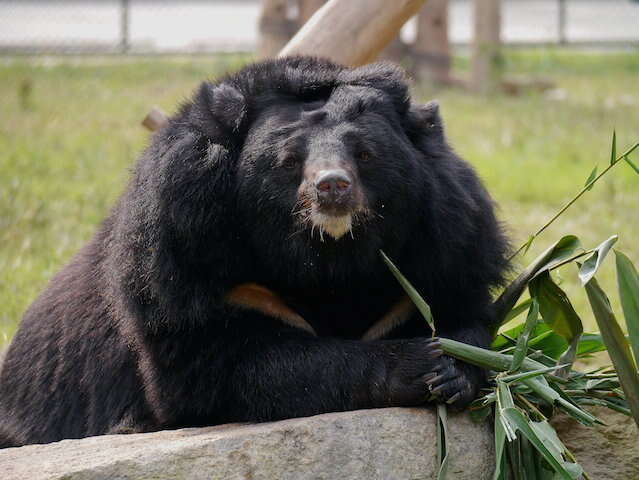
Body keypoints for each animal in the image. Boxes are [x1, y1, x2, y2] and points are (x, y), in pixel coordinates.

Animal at [0, 58, 510, 448]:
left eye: (365, 154)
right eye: (289, 161)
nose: (332, 187)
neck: (327, 260)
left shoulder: (447, 243)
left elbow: (461, 314)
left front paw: (453, 368)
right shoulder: (184, 262)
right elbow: (230, 369)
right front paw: (418, 363)